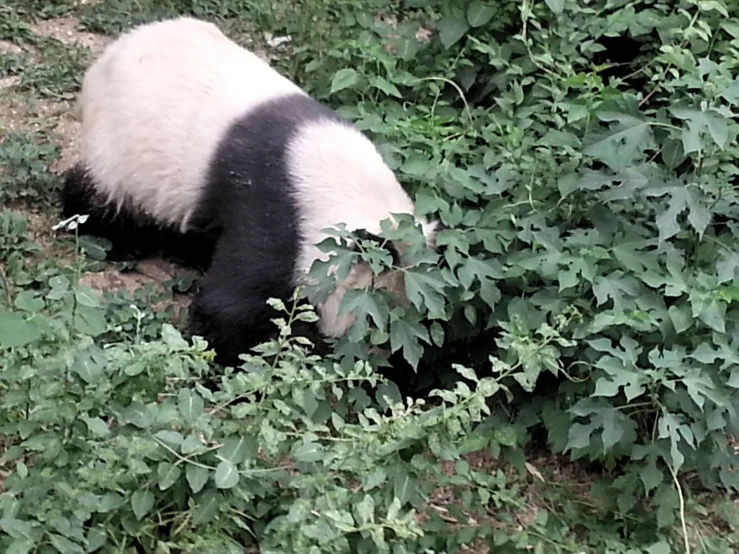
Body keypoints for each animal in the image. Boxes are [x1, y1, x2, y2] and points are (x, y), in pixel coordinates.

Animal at [62, 16, 440, 362]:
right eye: (377, 320)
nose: (381, 358)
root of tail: (103, 61)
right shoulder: (276, 210)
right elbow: (232, 303)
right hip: (121, 144)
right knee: (102, 199)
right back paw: (115, 238)